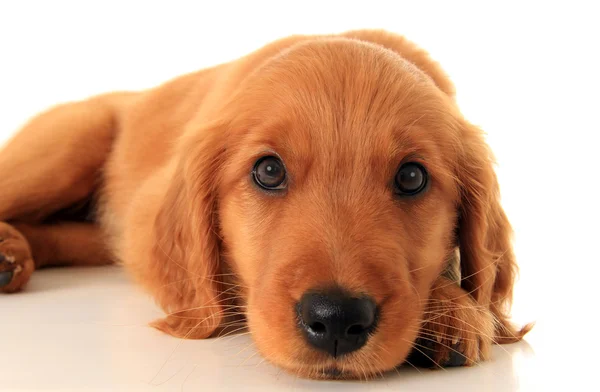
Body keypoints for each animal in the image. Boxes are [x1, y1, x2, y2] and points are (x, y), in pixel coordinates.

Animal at [0, 29, 532, 380]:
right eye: (269, 171)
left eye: (412, 177)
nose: (336, 319)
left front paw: (452, 310)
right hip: (70, 141)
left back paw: (13, 254)